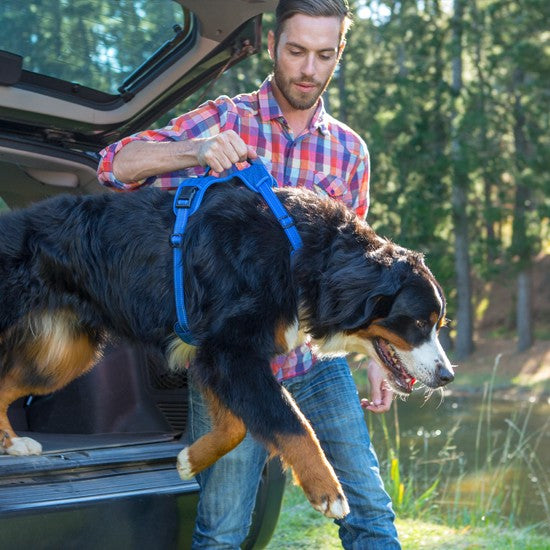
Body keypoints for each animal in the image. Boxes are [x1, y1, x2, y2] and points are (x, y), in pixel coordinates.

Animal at [0, 181, 458, 516]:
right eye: (419, 323)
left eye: (438, 324)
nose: (447, 375)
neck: (299, 252)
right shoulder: (229, 350)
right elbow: (293, 424)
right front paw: (328, 490)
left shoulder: (215, 357)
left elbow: (237, 426)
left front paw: (191, 459)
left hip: (61, 355)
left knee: (6, 384)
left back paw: (13, 443)